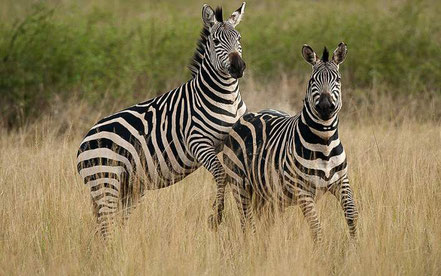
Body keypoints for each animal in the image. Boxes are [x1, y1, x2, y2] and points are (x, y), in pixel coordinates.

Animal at [76, 2, 248, 239]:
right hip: (105, 181)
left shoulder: (230, 138)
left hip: (129, 187)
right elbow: (221, 174)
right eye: (215, 41)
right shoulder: (198, 142)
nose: (238, 67)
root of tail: (85, 140)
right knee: (106, 226)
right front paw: (216, 216)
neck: (226, 97)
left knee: (115, 223)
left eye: (238, 38)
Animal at [210, 42, 358, 243]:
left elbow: (351, 213)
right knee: (247, 221)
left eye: (338, 79)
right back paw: (252, 245)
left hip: (271, 196)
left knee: (265, 222)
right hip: (239, 183)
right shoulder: (302, 191)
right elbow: (316, 228)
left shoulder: (342, 181)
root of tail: (249, 115)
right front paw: (322, 250)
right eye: (312, 80)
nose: (325, 107)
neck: (325, 142)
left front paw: (355, 246)